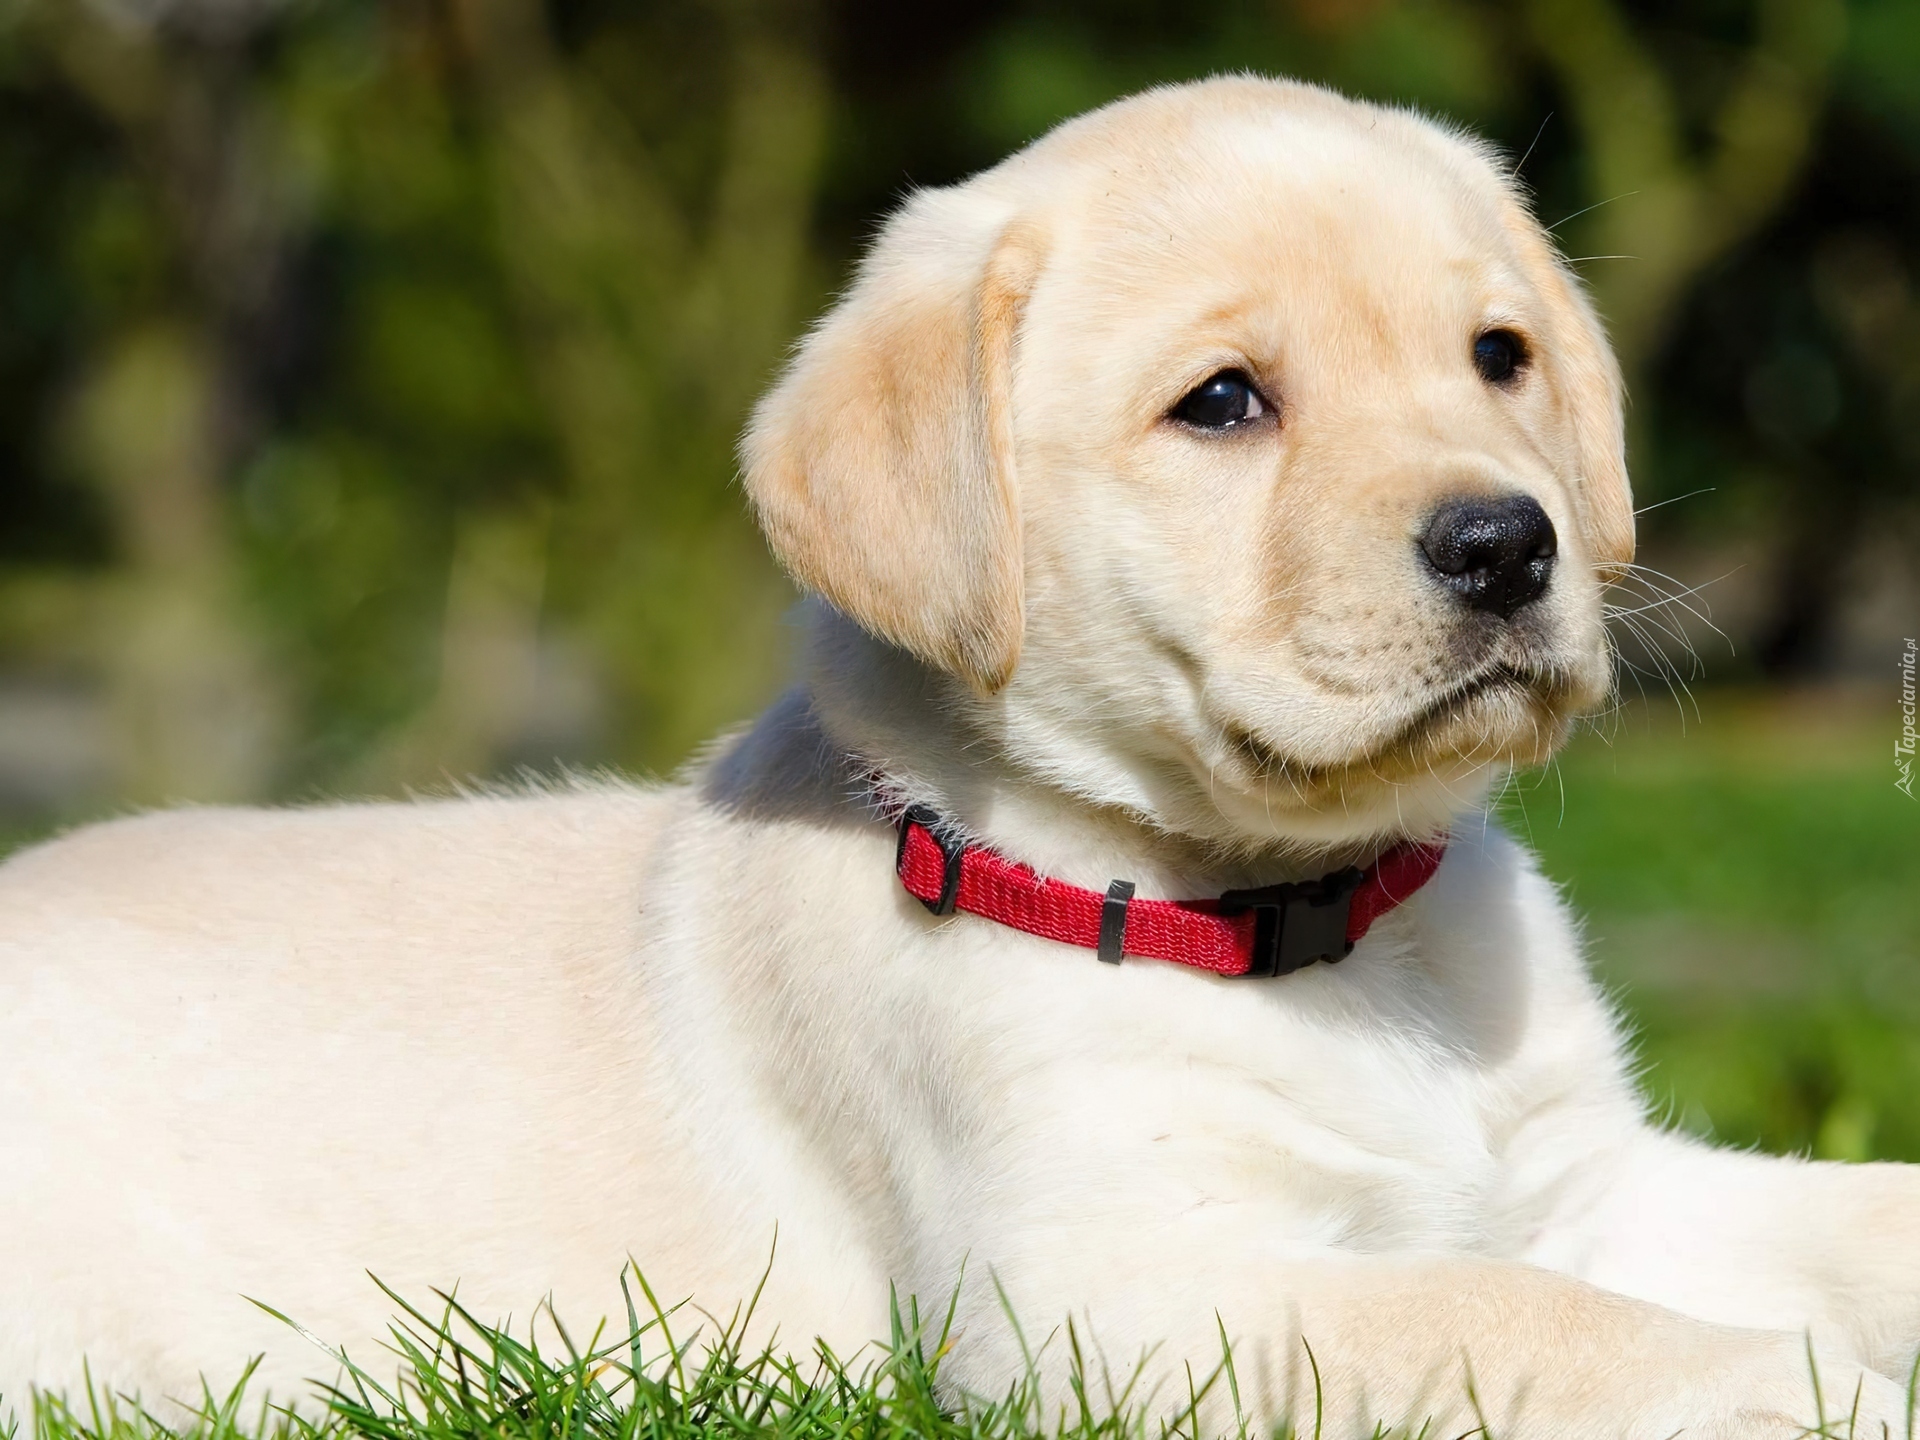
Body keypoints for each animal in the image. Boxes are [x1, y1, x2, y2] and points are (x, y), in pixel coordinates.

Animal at [3, 76, 1920, 1440]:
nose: (1511, 545)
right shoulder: (1123, 1303)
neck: (1317, 927)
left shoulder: (1582, 1184)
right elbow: (1526, 1322)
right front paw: (1805, 1389)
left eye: (1499, 356)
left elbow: (1851, 1217)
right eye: (1224, 403)